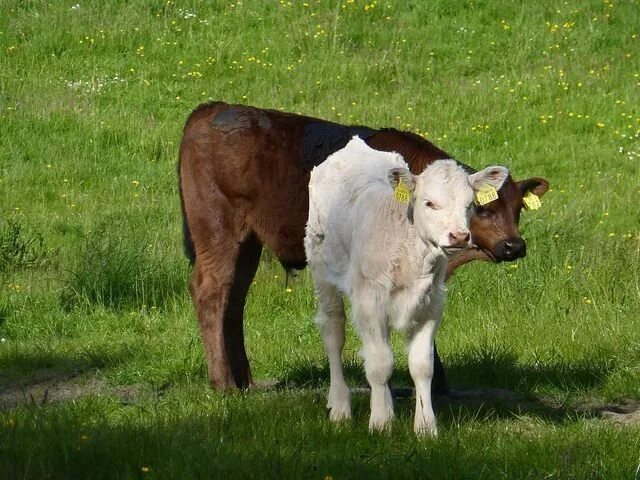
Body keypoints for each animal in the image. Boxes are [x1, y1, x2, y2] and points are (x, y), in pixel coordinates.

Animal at [178, 100, 548, 394]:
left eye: (518, 209)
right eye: (483, 209)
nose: (514, 246)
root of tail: (212, 109)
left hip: (248, 242)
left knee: (234, 299)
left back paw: (245, 381)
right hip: (218, 230)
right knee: (211, 292)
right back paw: (224, 384)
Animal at [304, 137, 510, 436]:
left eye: (470, 204)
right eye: (429, 203)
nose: (459, 236)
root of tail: (355, 145)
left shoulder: (431, 305)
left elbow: (422, 366)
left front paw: (425, 426)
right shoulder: (369, 302)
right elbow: (379, 364)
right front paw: (380, 423)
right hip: (321, 266)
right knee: (333, 331)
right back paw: (340, 407)